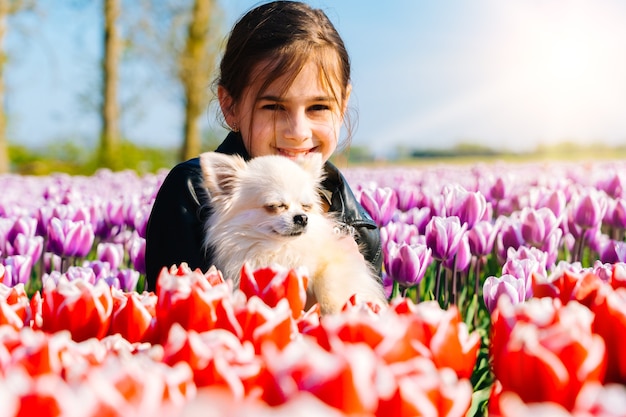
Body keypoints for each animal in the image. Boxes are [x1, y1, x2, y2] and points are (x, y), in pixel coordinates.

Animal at [200, 151, 386, 314]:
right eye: (275, 206)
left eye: (306, 206)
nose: (302, 218)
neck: (278, 248)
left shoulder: (337, 260)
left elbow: (329, 286)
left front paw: (336, 311)